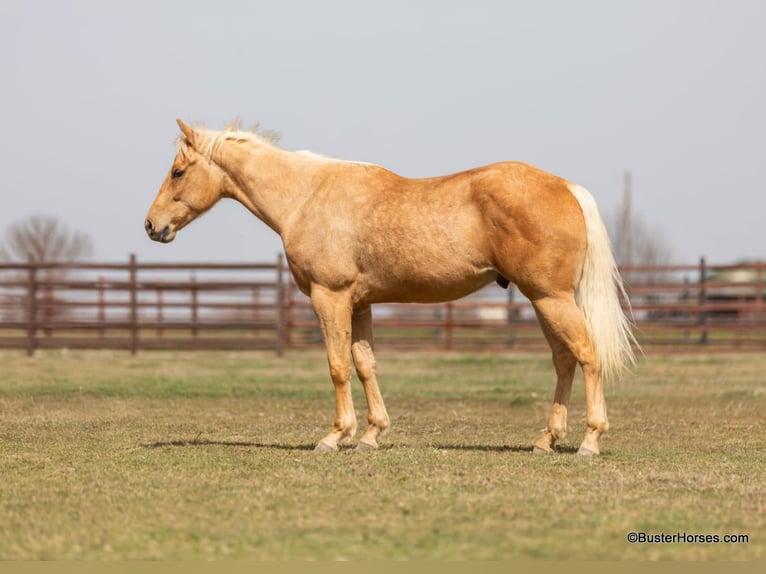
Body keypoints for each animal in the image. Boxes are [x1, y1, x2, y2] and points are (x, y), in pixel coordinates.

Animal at [145, 119, 638, 456]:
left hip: (550, 299)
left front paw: (335, 436)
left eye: (177, 172)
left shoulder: (330, 298)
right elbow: (365, 365)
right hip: (544, 301)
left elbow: (337, 366)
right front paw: (371, 434)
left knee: (586, 355)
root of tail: (567, 188)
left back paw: (590, 440)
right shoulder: (359, 305)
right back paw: (546, 439)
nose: (152, 226)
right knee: (564, 361)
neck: (306, 196)